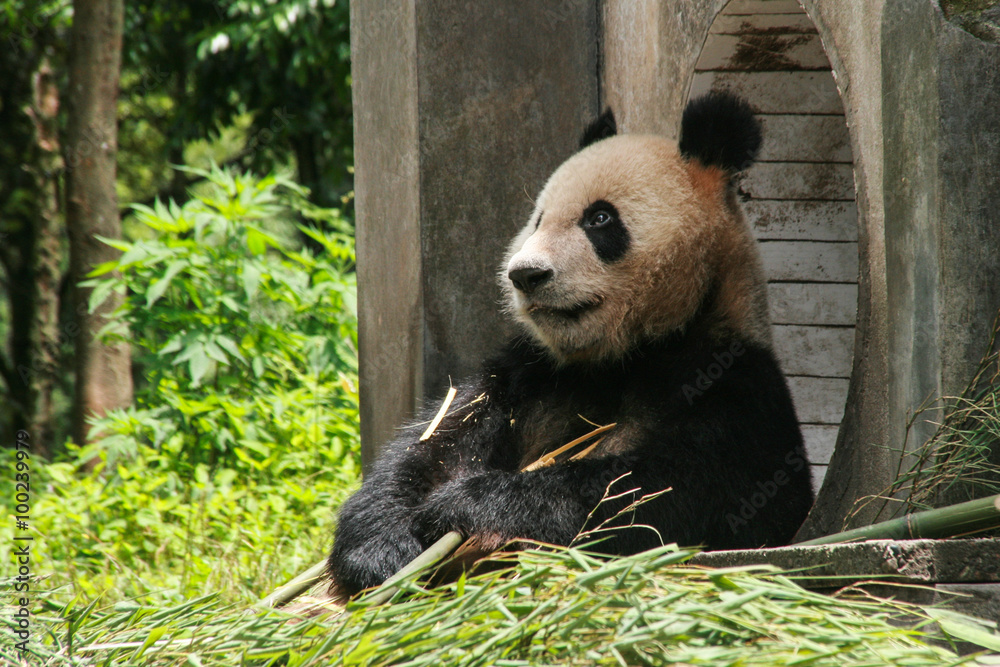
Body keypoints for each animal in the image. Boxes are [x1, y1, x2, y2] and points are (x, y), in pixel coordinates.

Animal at [328, 92, 814, 596]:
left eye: (599, 218)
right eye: (538, 220)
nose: (526, 274)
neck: (627, 353)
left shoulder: (730, 380)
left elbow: (668, 490)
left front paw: (469, 504)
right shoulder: (532, 374)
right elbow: (437, 439)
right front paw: (381, 548)